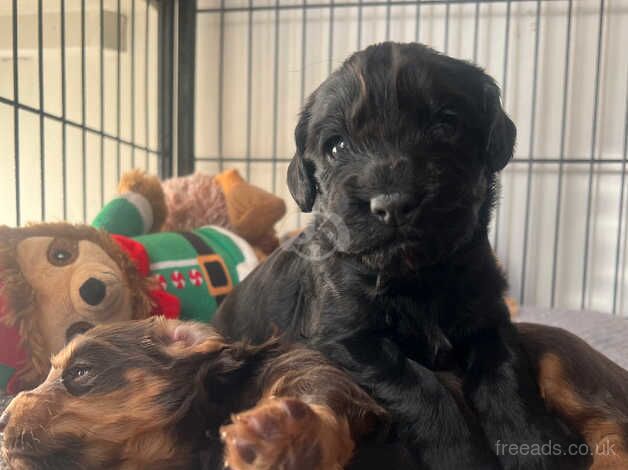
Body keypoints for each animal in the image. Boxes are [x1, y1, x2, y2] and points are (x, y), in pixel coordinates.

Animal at [213, 42, 588, 468]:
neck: (417, 275)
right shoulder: (346, 339)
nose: (392, 204)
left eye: (446, 125)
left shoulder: (489, 316)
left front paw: (536, 447)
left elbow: (506, 374)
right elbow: (418, 385)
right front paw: (461, 457)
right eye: (336, 146)